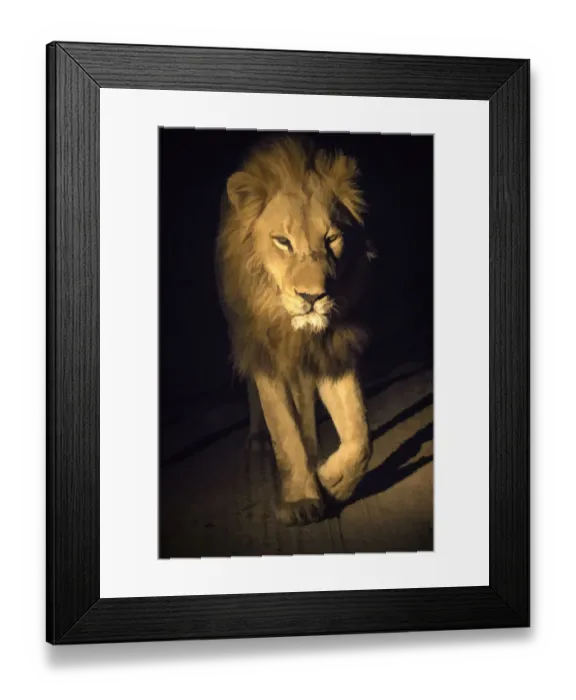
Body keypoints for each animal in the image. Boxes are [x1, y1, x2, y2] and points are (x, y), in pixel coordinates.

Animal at [215, 135, 377, 526]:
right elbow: (284, 430)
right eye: (282, 241)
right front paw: (302, 499)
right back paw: (259, 440)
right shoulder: (267, 351)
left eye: (331, 238)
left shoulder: (334, 347)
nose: (312, 297)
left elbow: (360, 434)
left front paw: (333, 482)